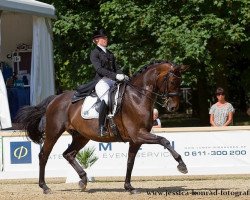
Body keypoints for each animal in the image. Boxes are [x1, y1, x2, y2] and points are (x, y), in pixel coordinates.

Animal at [15, 60, 188, 194]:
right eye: (172, 82)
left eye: (180, 82)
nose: (173, 107)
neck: (138, 97)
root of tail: (55, 99)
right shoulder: (139, 134)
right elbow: (164, 140)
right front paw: (182, 165)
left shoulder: (136, 140)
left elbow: (130, 162)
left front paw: (129, 187)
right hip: (53, 132)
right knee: (43, 155)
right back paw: (45, 187)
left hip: (81, 136)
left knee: (68, 154)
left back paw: (83, 180)